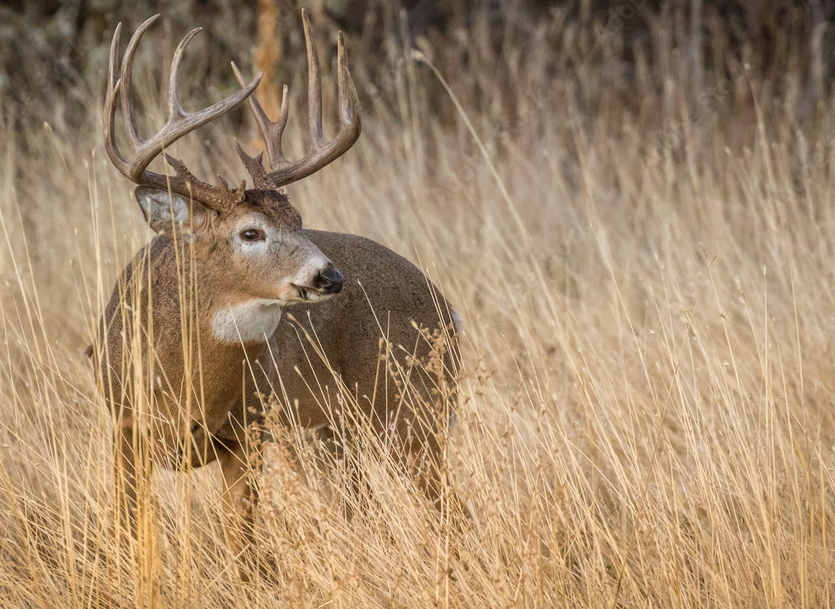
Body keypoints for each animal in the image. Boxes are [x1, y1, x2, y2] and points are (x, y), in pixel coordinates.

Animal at [90, 12, 462, 576]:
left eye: (299, 220)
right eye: (250, 232)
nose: (330, 277)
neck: (186, 385)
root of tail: (448, 310)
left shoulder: (248, 434)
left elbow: (244, 549)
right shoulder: (125, 430)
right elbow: (128, 533)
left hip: (410, 410)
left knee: (445, 510)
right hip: (338, 437)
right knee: (369, 511)